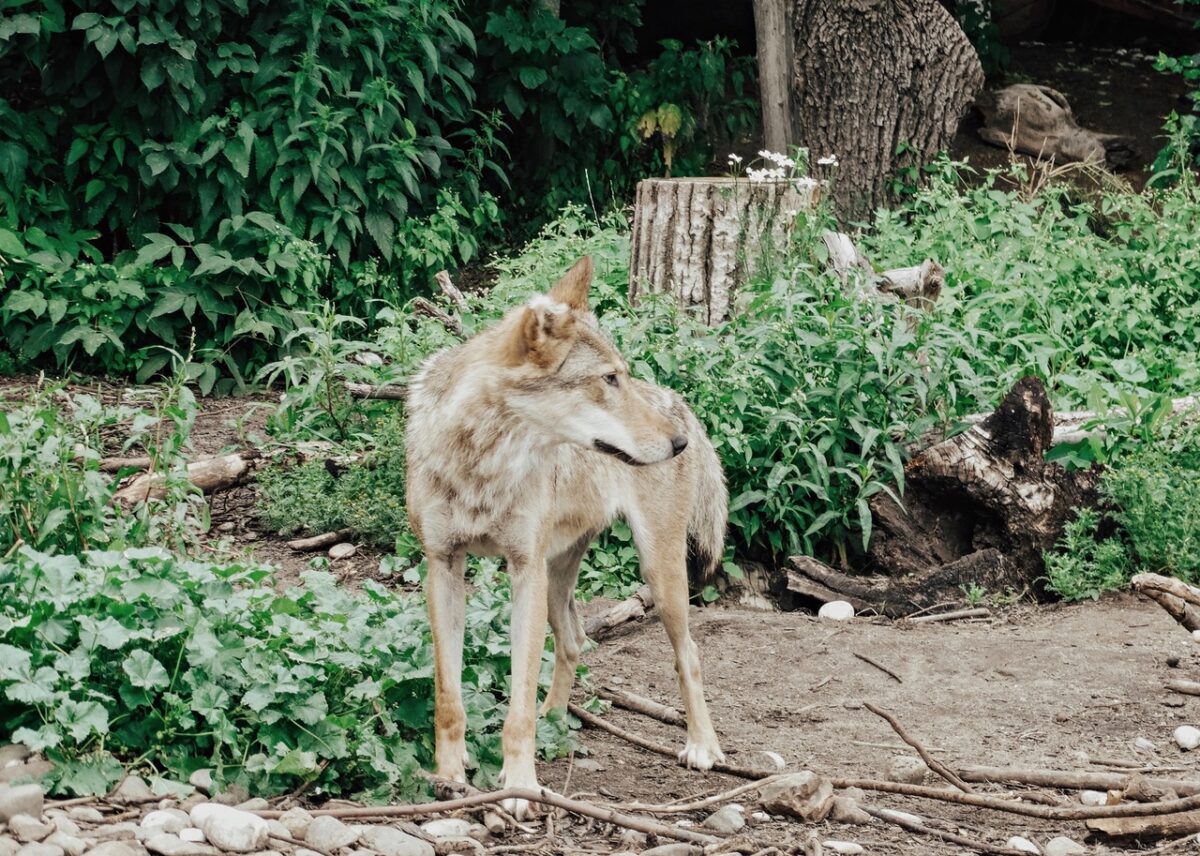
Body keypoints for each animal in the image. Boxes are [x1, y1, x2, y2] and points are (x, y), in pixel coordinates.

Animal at [403, 253, 724, 816]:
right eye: (609, 379)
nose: (678, 443)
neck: (481, 462)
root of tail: (677, 401)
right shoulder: (443, 567)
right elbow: (449, 696)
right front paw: (449, 777)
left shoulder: (522, 569)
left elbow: (517, 704)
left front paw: (520, 787)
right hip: (557, 581)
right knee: (574, 642)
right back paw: (554, 720)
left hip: (658, 577)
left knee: (688, 655)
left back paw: (702, 746)